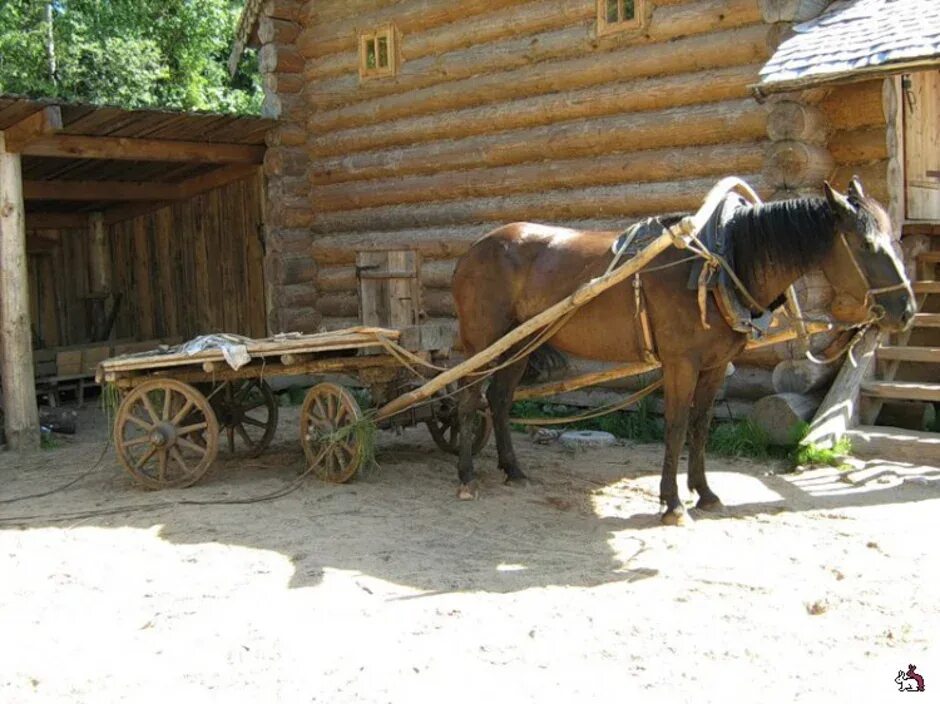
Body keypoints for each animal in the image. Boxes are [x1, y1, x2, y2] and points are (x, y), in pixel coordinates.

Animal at [452, 179, 916, 524]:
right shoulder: (680, 363)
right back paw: (466, 475)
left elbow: (700, 425)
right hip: (484, 342)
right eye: (866, 245)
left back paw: (513, 469)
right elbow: (675, 425)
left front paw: (705, 493)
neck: (720, 265)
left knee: (499, 398)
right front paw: (672, 503)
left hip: (520, 344)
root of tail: (474, 249)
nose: (907, 310)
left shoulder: (715, 365)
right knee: (468, 399)